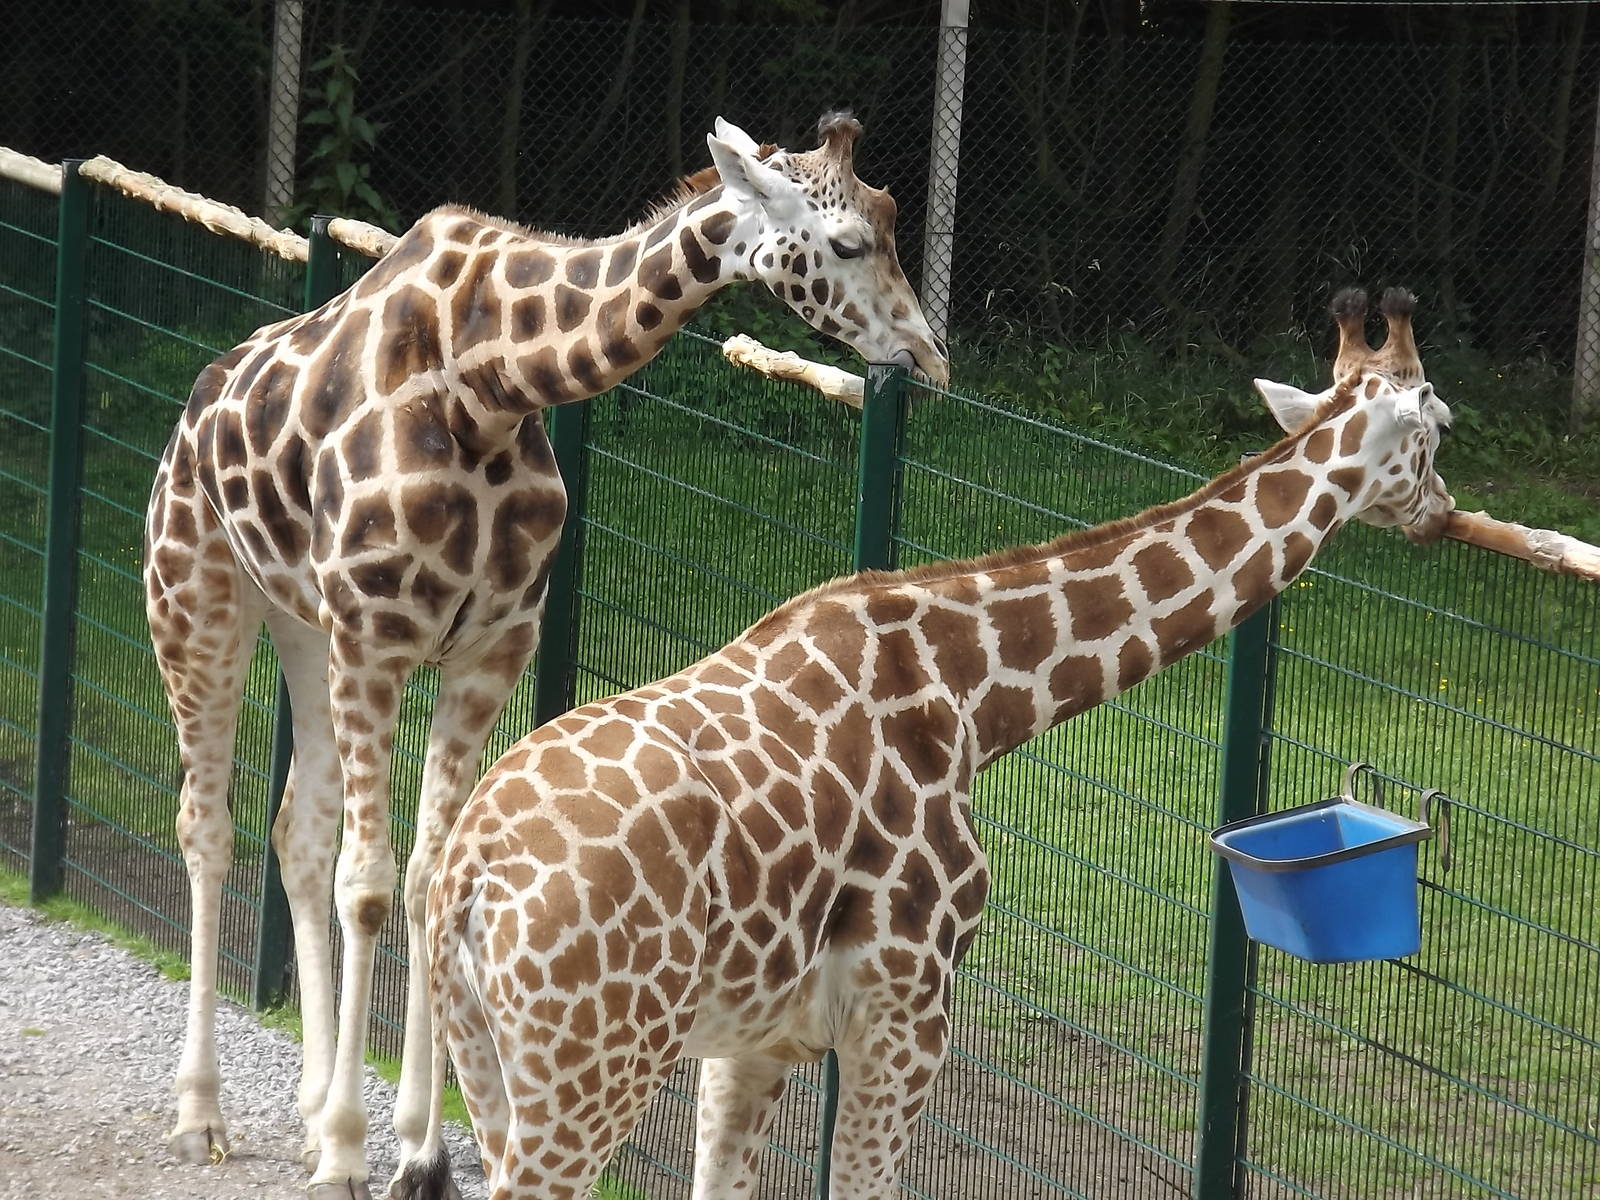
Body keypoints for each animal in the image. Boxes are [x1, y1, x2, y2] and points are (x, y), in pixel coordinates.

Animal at [143, 111, 947, 1199]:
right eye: (851, 242)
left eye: (892, 223)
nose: (927, 354)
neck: (490, 378)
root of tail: (197, 401)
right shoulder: (377, 635)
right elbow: (371, 882)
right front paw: (354, 1149)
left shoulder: (492, 643)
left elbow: (426, 875)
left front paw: (416, 1149)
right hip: (197, 590)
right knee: (208, 821)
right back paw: (203, 1116)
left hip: (299, 622)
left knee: (296, 830)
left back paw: (306, 1112)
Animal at [391, 368, 1454, 1199]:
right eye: (1435, 430)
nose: (1442, 513)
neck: (975, 693)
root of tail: (469, 881)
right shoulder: (905, 1010)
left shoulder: (754, 1040)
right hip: (590, 1069)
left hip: (487, 1059)